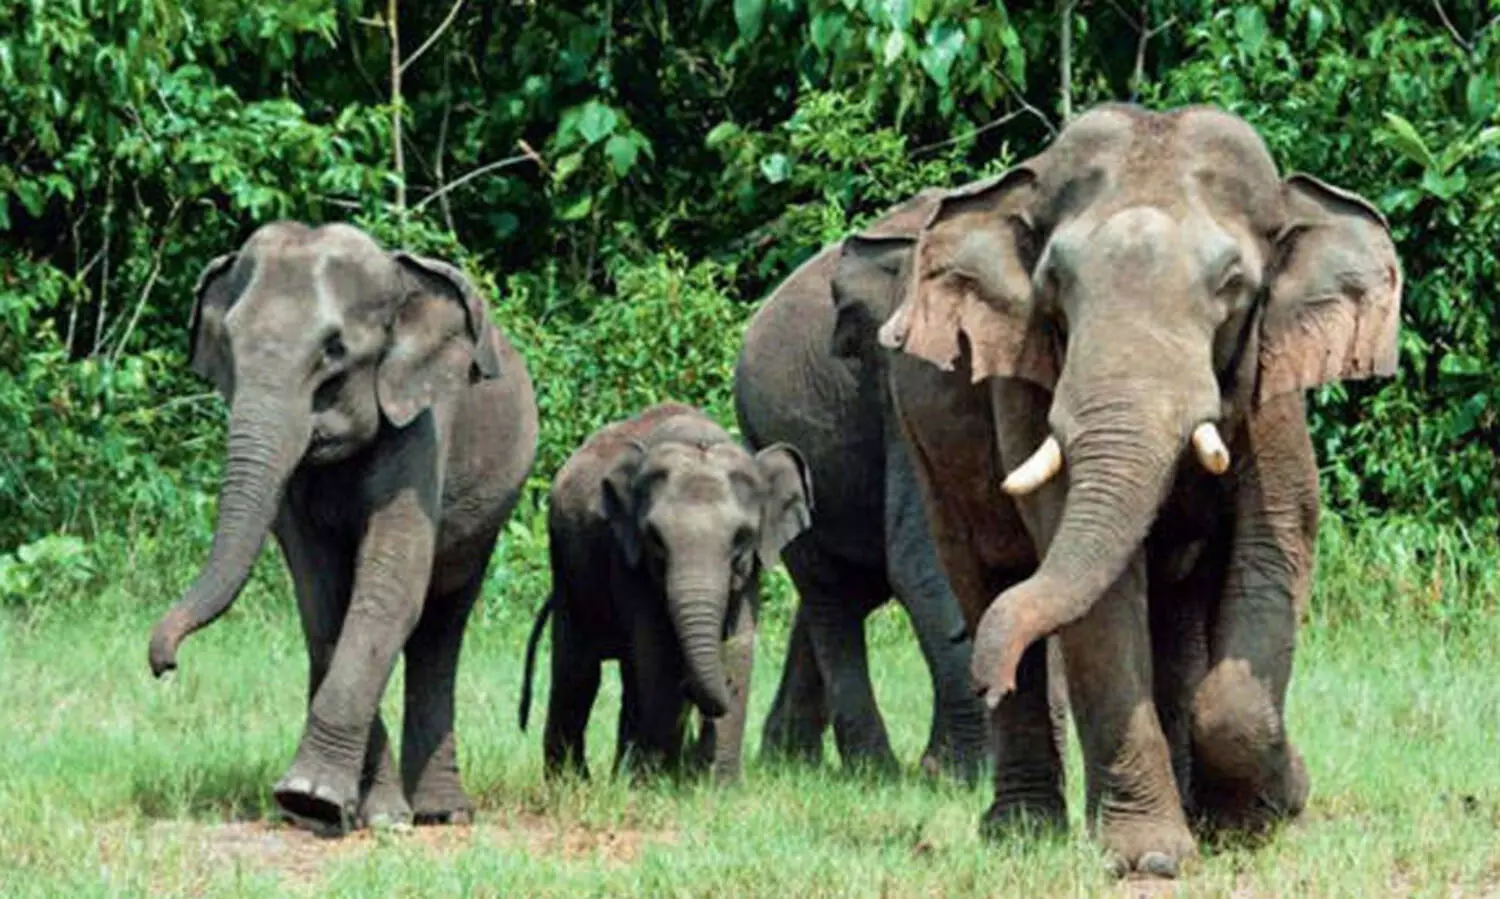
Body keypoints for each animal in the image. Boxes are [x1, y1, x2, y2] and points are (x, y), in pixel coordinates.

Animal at [146, 222, 538, 836]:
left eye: (334, 351)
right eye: (228, 346)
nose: (164, 664)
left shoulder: (426, 415)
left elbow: (389, 589)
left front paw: (313, 798)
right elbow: (322, 600)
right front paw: (349, 812)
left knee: (443, 620)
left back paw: (443, 814)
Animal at [518, 403, 812, 782]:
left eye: (742, 538)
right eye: (655, 538)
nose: (722, 686)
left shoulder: (752, 570)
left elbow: (740, 647)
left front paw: (720, 786)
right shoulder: (626, 556)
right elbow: (657, 652)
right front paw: (656, 784)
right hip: (567, 569)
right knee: (578, 672)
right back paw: (573, 783)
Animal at [733, 192, 992, 779]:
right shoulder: (903, 386)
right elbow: (926, 560)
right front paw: (961, 778)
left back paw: (793, 760)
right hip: (769, 435)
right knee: (832, 593)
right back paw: (871, 769)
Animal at [834, 104, 1402, 875]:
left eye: (1233, 283)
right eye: (1054, 284)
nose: (985, 676)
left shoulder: (1273, 385)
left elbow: (1272, 550)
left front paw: (1259, 814)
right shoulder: (1028, 376)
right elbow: (1099, 600)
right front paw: (1153, 859)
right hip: (924, 448)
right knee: (986, 577)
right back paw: (1023, 830)